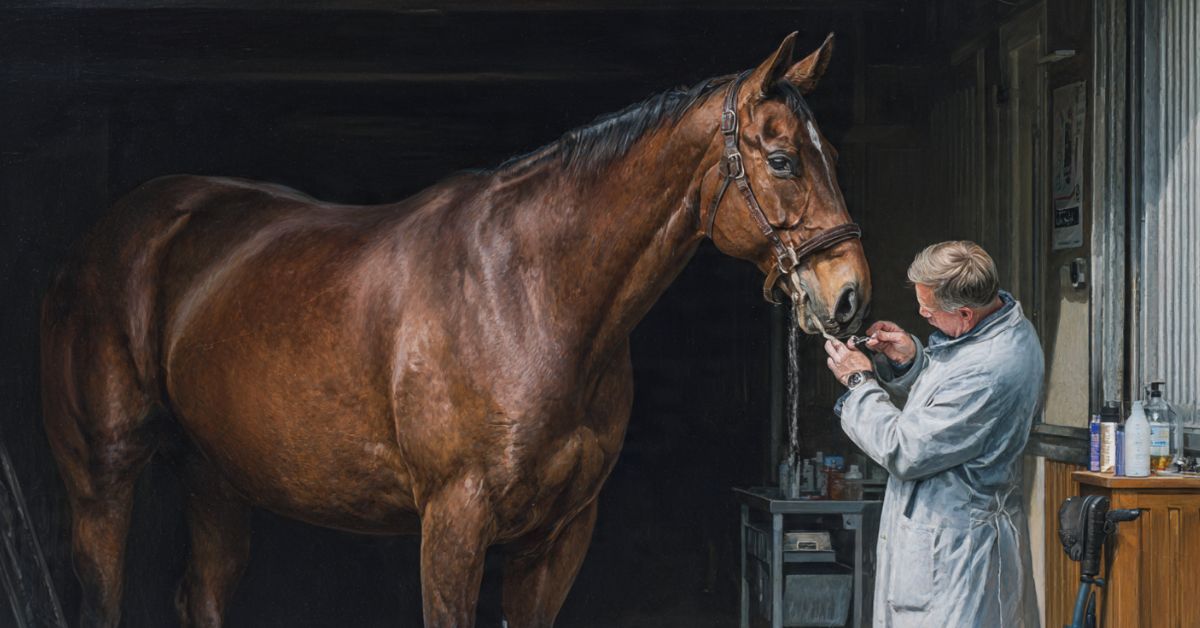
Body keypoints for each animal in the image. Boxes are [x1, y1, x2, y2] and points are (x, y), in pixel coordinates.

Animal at [40, 32, 870, 628]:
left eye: (832, 153)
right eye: (783, 159)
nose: (850, 295)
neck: (529, 292)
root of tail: (107, 236)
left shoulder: (559, 535)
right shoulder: (453, 521)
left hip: (215, 476)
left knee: (201, 596)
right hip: (102, 477)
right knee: (102, 595)